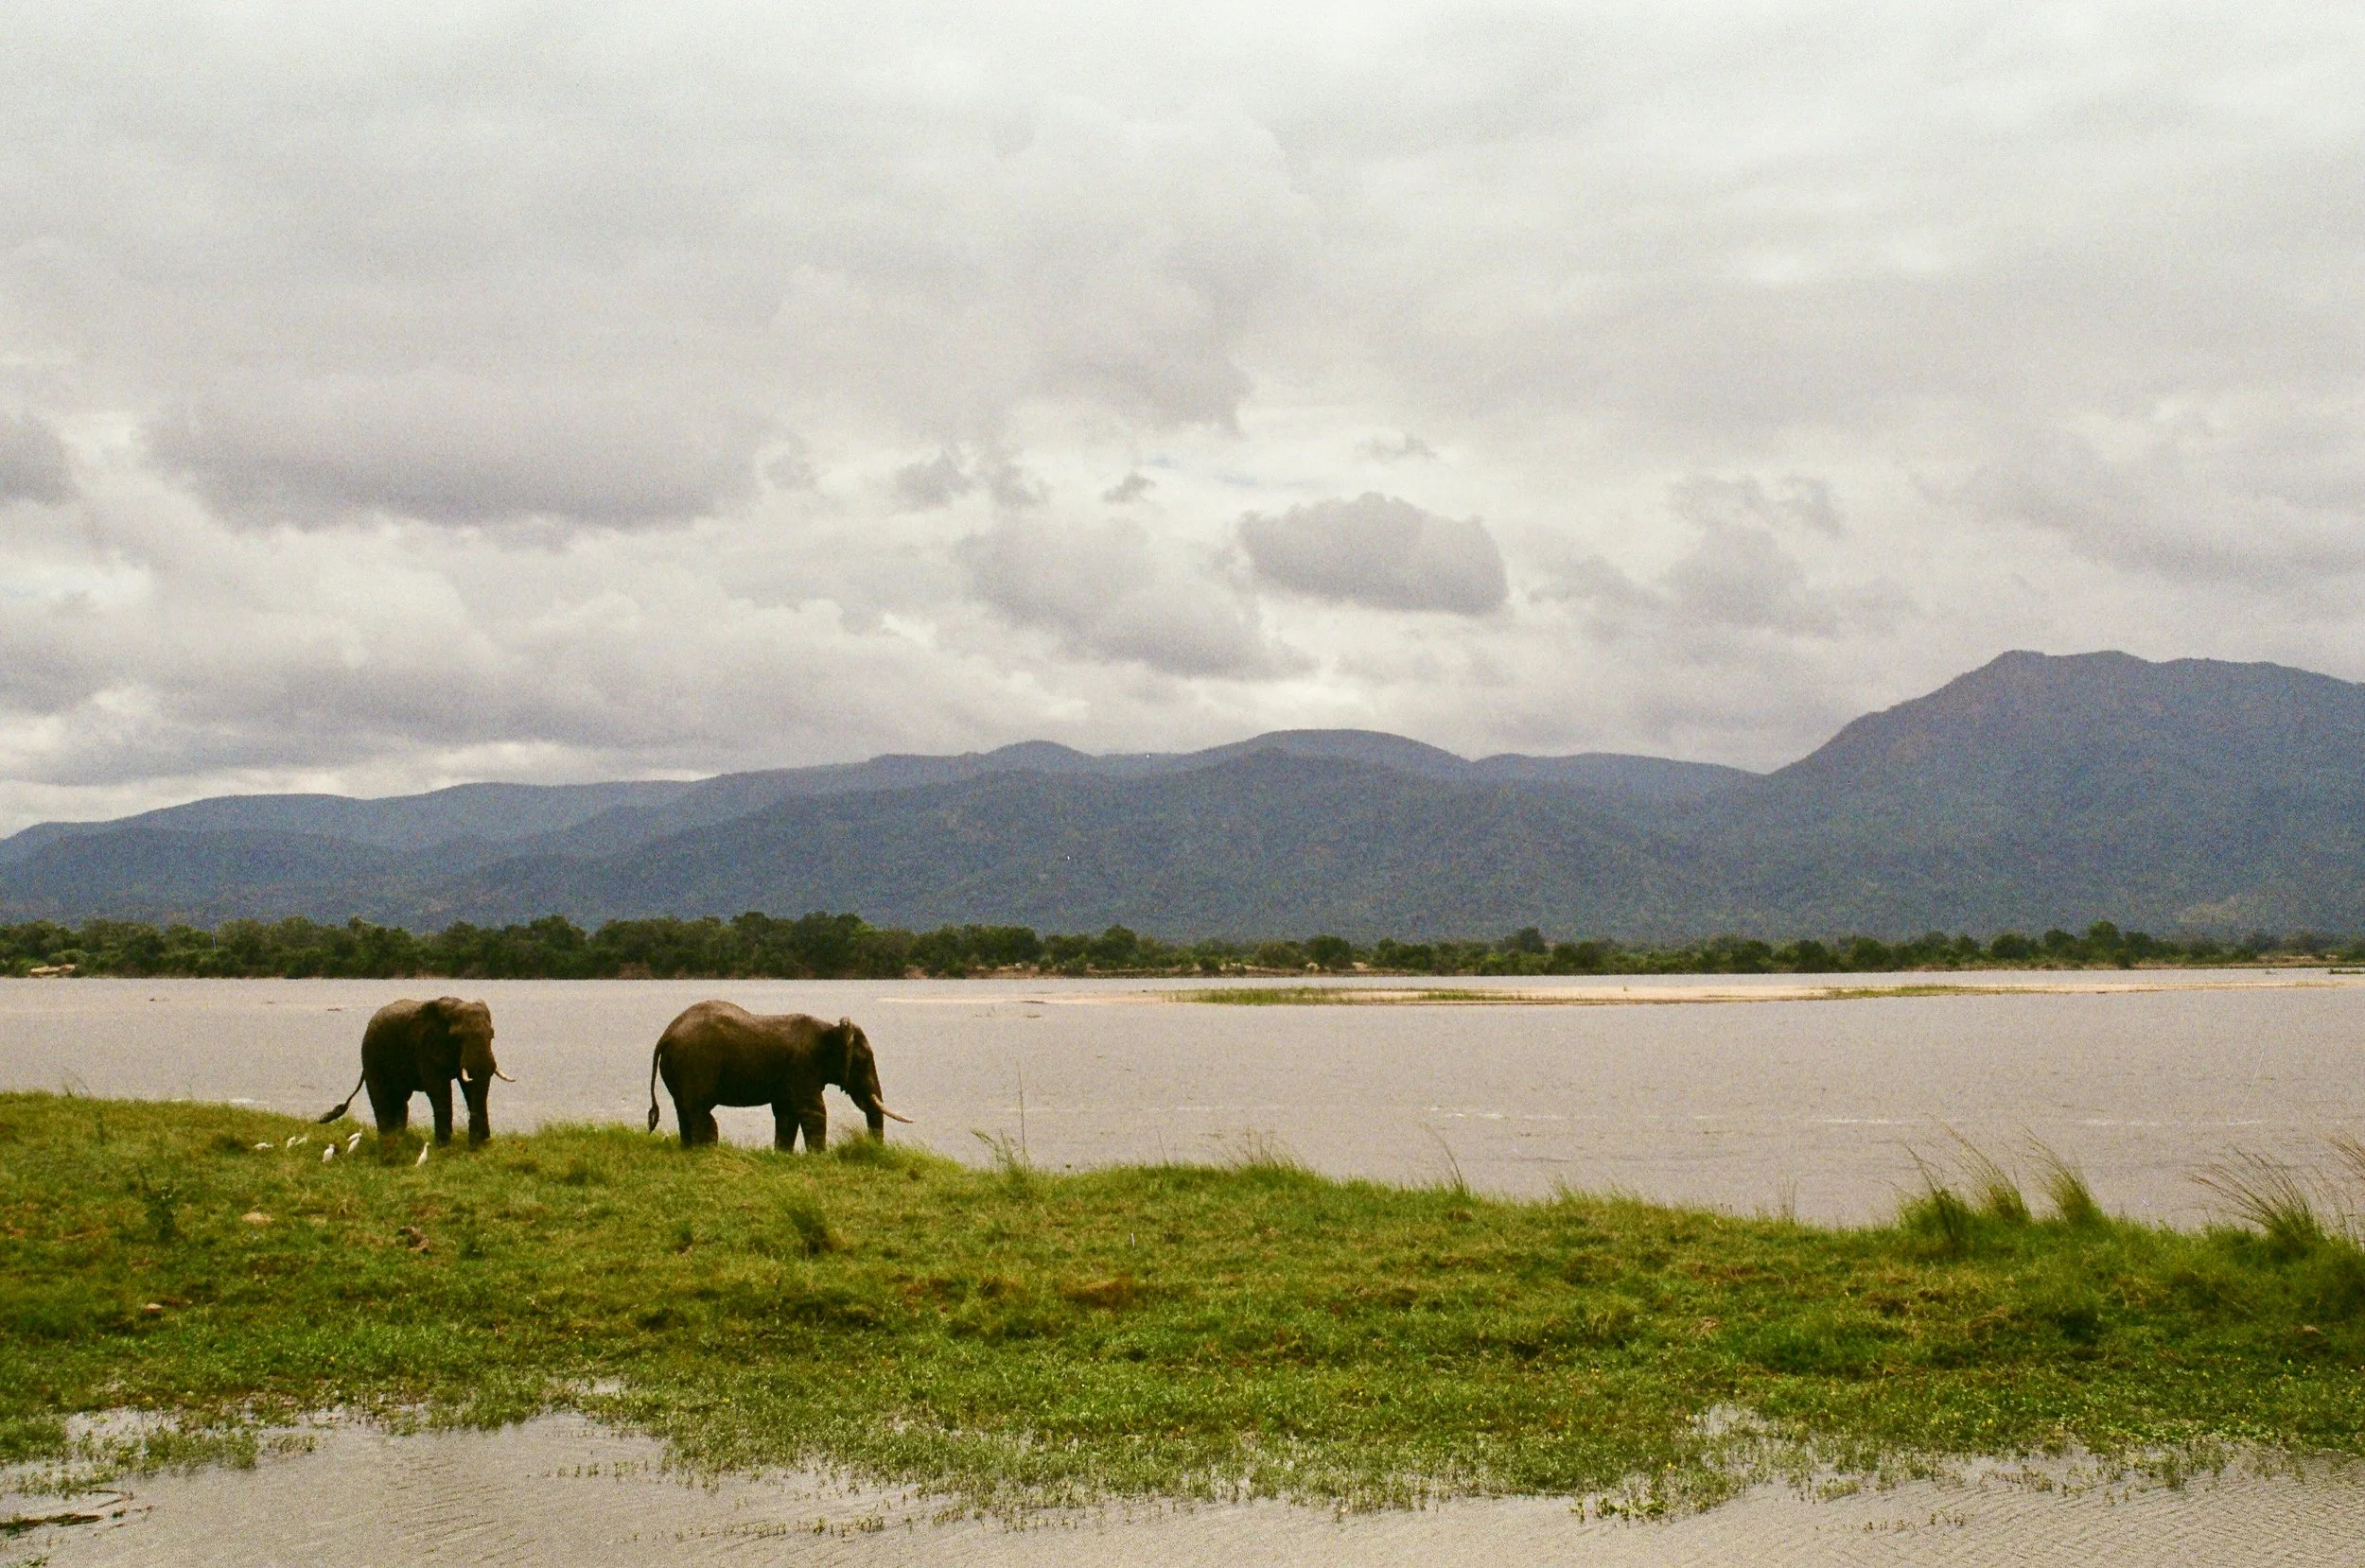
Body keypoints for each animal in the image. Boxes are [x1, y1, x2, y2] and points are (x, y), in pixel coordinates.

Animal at [319, 997, 511, 1146]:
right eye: (458, 1037)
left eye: (492, 1036)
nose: (478, 1142)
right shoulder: (424, 1046)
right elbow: (438, 1088)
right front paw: (443, 1145)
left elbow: (470, 1086)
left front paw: (480, 1142)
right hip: (371, 1054)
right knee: (381, 1096)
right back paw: (387, 1139)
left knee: (400, 1099)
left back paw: (398, 1137)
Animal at [646, 1001, 910, 1150]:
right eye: (864, 1061)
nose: (875, 1150)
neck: (831, 1029)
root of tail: (666, 1035)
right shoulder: (803, 1066)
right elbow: (813, 1110)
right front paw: (820, 1158)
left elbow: (787, 1112)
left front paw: (783, 1154)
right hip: (696, 1064)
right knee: (701, 1112)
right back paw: (707, 1151)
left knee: (684, 1109)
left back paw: (688, 1149)